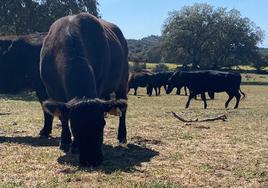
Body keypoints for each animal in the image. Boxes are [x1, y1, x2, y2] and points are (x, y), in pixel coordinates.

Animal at [41, 12, 130, 166]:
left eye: (102, 124)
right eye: (75, 125)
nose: (92, 160)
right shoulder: (52, 91)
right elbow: (63, 117)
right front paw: (65, 142)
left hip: (122, 81)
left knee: (122, 109)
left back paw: (122, 136)